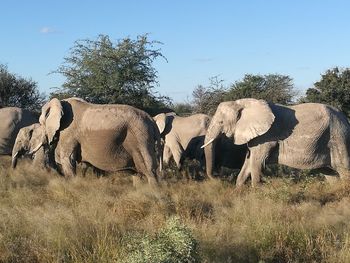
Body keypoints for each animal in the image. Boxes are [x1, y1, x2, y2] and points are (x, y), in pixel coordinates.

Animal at [11, 97, 162, 186]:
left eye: (42, 122)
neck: (60, 103)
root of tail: (152, 121)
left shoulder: (68, 132)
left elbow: (68, 160)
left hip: (141, 137)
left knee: (149, 170)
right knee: (138, 173)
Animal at [201, 99, 350, 188]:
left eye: (221, 122)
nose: (219, 177)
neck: (243, 103)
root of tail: (345, 117)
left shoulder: (266, 136)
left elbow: (256, 162)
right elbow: (248, 161)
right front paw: (239, 191)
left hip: (338, 136)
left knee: (343, 169)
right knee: (329, 172)